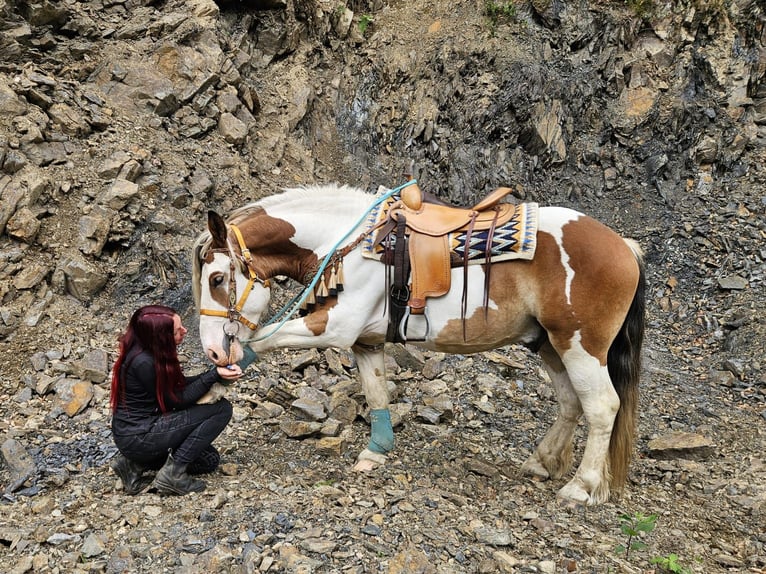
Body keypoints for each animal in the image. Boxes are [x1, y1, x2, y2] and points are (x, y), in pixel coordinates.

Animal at [191, 182, 645, 506]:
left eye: (217, 278)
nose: (213, 350)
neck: (346, 243)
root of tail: (624, 246)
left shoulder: (335, 326)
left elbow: (265, 339)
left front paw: (218, 380)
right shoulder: (366, 341)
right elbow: (376, 392)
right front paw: (376, 452)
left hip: (581, 345)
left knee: (601, 406)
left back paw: (580, 488)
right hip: (550, 345)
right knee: (571, 402)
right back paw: (541, 462)